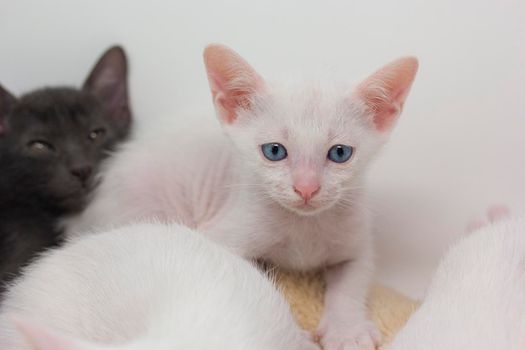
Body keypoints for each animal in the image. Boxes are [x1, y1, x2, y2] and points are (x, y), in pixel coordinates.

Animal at [66, 45, 418, 348]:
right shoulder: (222, 235)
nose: (306, 188)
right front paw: (296, 336)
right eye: (274, 151)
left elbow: (351, 283)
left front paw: (347, 332)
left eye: (340, 153)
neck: (303, 228)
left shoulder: (357, 243)